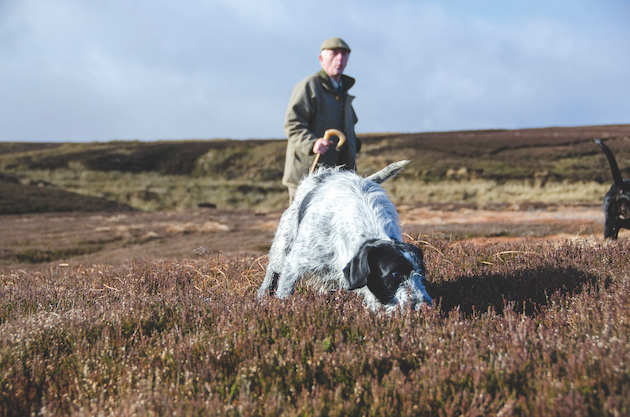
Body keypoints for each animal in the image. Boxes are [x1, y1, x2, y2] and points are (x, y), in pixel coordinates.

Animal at [260, 161, 432, 310]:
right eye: (395, 274)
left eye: (421, 273)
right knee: (273, 268)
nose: (425, 306)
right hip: (284, 243)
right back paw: (263, 294)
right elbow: (285, 290)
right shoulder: (295, 264)